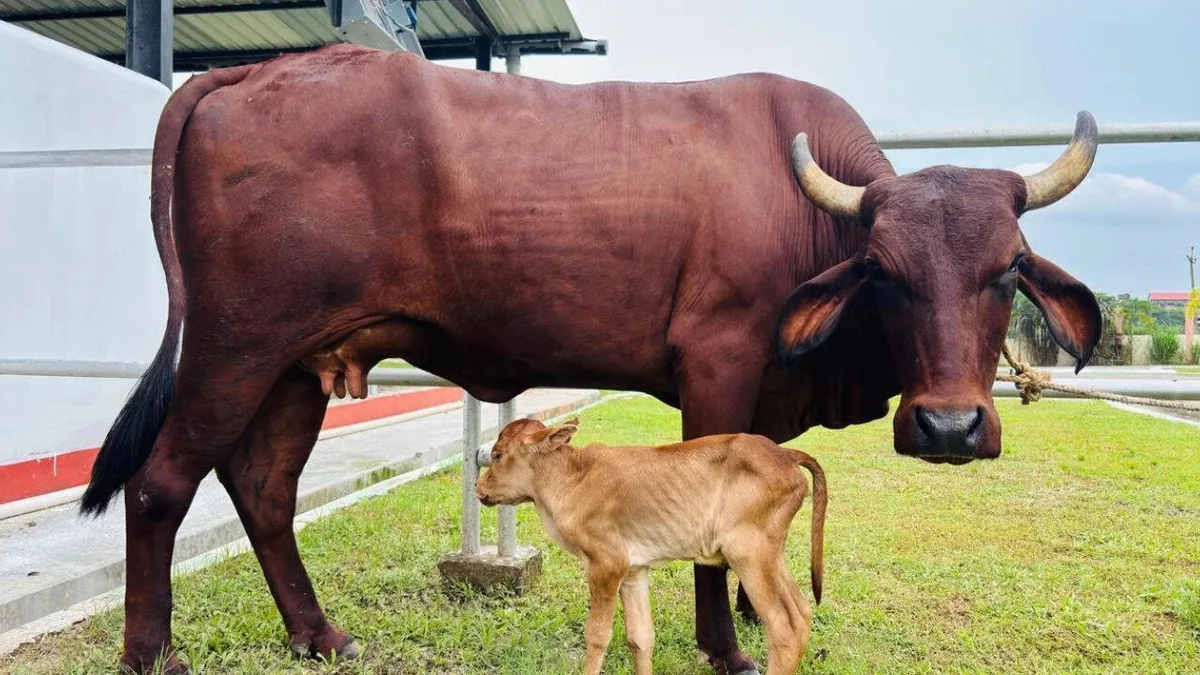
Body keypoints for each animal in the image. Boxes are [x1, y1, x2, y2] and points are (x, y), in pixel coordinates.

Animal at [475, 417, 828, 675]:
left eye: (497, 454)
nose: (478, 487)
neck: (572, 478)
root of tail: (785, 455)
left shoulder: (606, 566)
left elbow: (597, 636)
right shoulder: (634, 571)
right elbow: (641, 639)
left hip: (749, 555)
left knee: (782, 626)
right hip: (770, 556)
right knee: (801, 611)